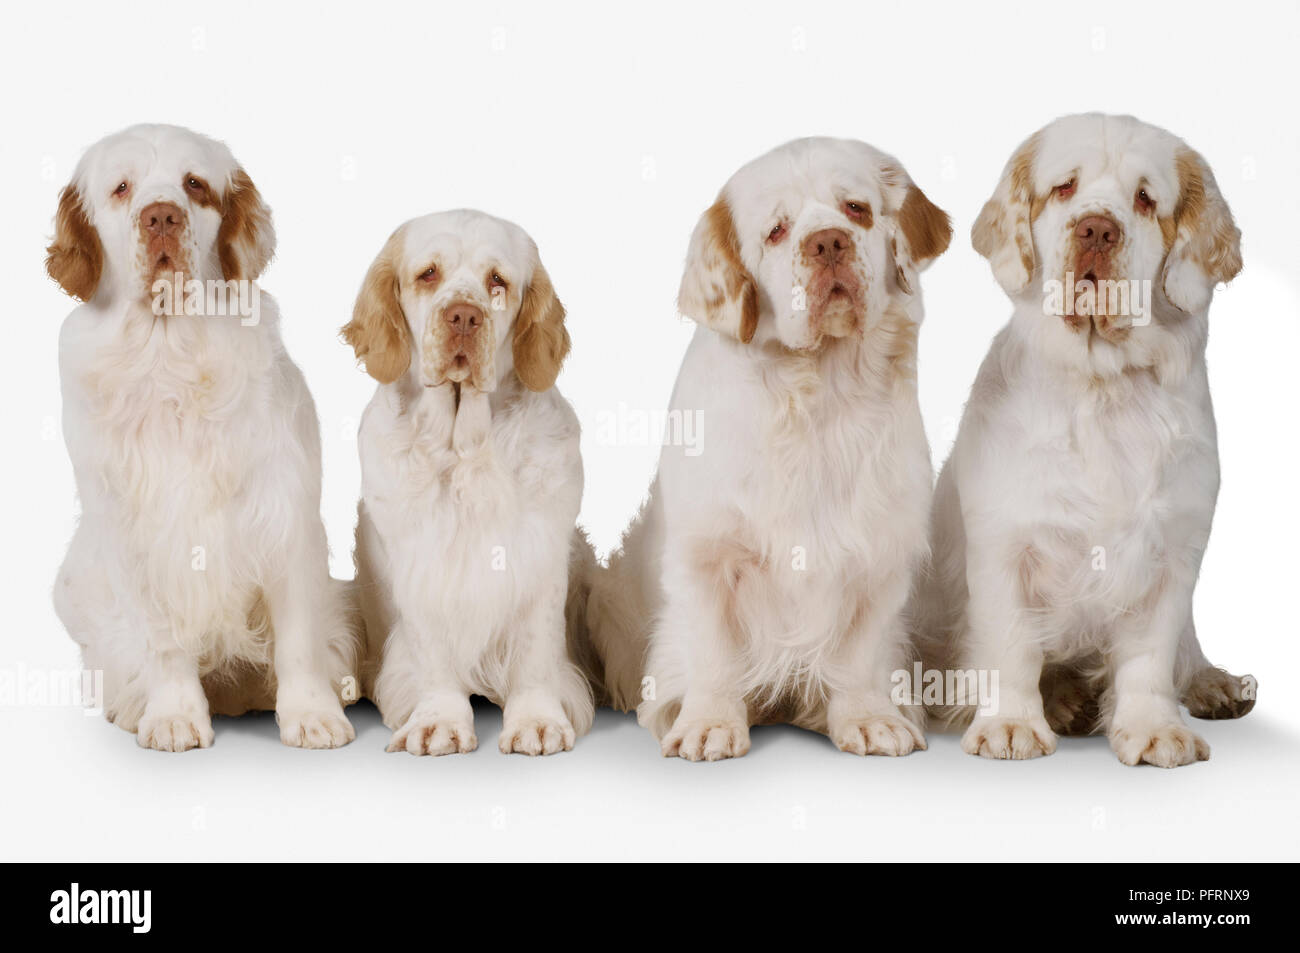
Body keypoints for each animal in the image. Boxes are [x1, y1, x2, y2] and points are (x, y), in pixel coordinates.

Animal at [343, 211, 592, 754]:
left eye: (497, 280)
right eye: (428, 274)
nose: (462, 316)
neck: (463, 451)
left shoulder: (539, 558)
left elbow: (536, 649)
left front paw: (536, 719)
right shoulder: (423, 562)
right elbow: (433, 652)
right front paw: (439, 721)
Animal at [585, 137, 951, 759]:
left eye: (857, 210)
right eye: (776, 231)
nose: (827, 242)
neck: (817, 397)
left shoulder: (879, 555)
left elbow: (860, 651)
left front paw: (868, 719)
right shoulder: (709, 555)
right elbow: (713, 651)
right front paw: (708, 723)